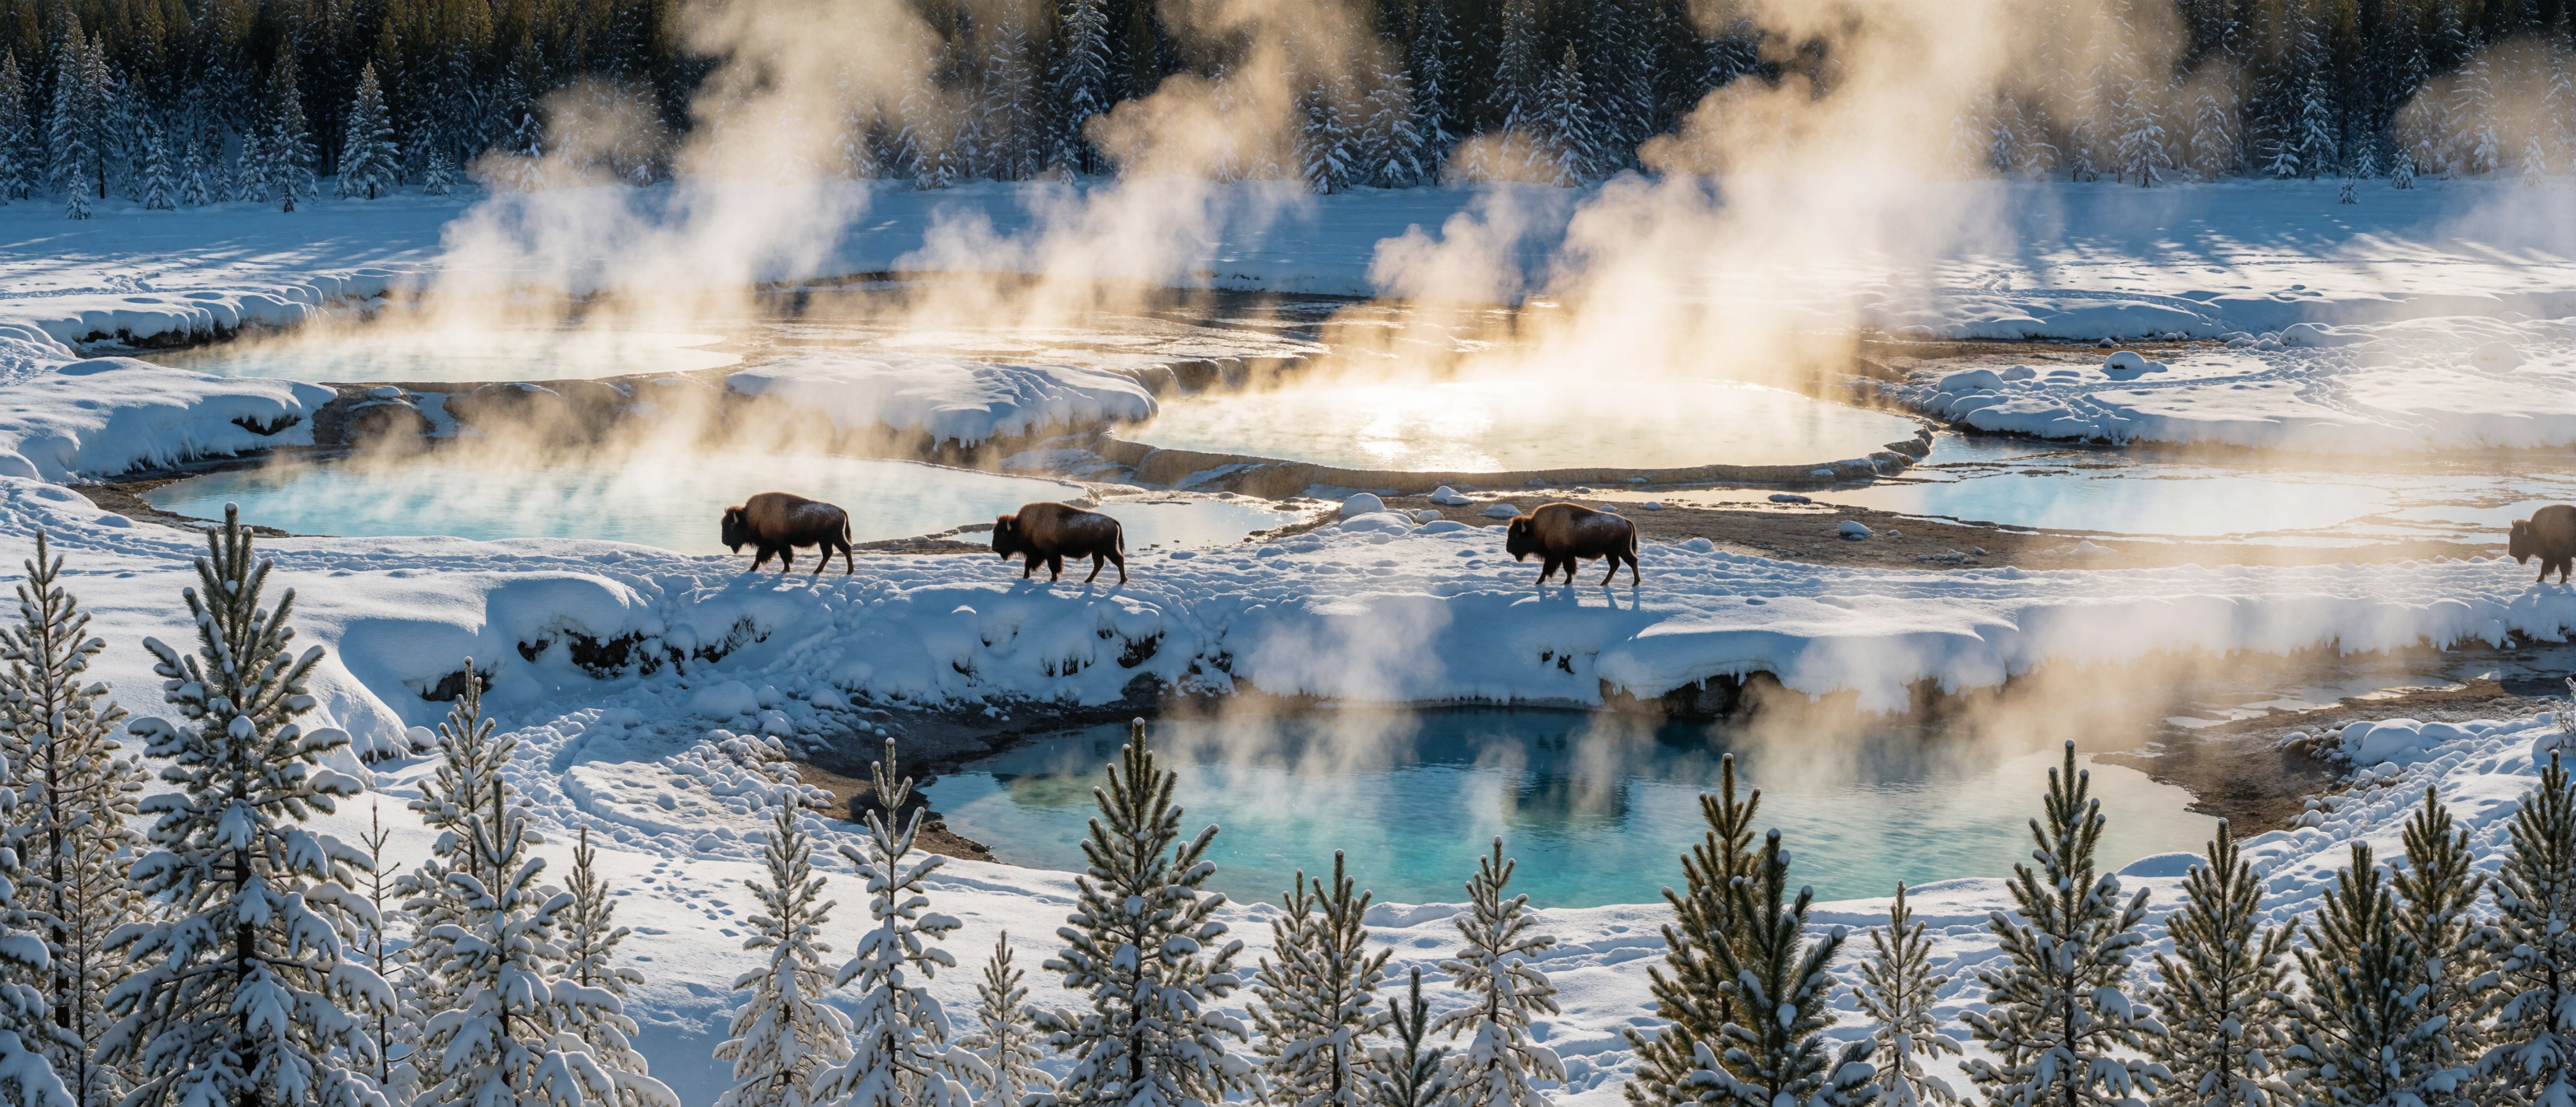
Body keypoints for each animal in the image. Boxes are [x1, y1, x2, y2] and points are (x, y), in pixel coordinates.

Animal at [720, 492, 856, 575]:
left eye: (731, 527)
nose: (724, 540)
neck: (752, 519)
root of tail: (839, 510)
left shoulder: (772, 544)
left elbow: (762, 556)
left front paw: (752, 569)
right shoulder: (781, 544)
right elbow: (785, 557)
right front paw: (786, 569)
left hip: (826, 541)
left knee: (829, 553)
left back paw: (817, 571)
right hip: (837, 538)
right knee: (846, 549)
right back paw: (849, 571)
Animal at [993, 501, 1127, 583]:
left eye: (1003, 534)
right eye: (994, 531)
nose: (994, 548)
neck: (1023, 527)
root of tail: (1112, 521)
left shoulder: (1050, 553)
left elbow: (1053, 567)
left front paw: (1053, 579)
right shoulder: (1038, 554)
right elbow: (1028, 564)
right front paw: (1026, 577)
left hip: (1107, 549)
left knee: (1118, 560)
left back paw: (1122, 580)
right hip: (1097, 552)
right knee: (1099, 564)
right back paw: (1087, 580)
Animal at [1504, 502, 1640, 586]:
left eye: (1517, 536)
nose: (1508, 549)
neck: (1539, 528)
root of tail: (1625, 521)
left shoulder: (1555, 555)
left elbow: (1546, 568)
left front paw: (1538, 582)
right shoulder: (1567, 555)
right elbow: (1568, 568)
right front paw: (1567, 581)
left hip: (1615, 552)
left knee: (1623, 563)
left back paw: (1627, 583)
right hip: (1617, 552)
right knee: (1623, 563)